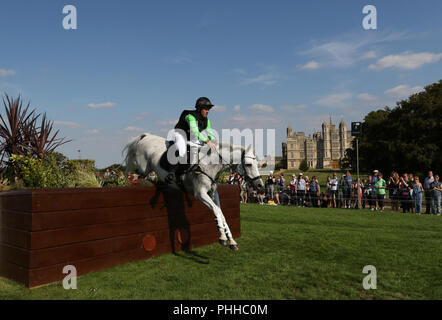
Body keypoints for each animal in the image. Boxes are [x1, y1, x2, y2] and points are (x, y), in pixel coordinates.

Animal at [122, 132, 264, 250]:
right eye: (249, 164)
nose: (260, 185)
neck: (210, 165)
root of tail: (145, 136)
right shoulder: (200, 193)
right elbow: (217, 211)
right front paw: (223, 238)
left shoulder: (213, 193)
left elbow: (221, 213)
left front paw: (231, 240)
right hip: (143, 168)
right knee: (138, 177)